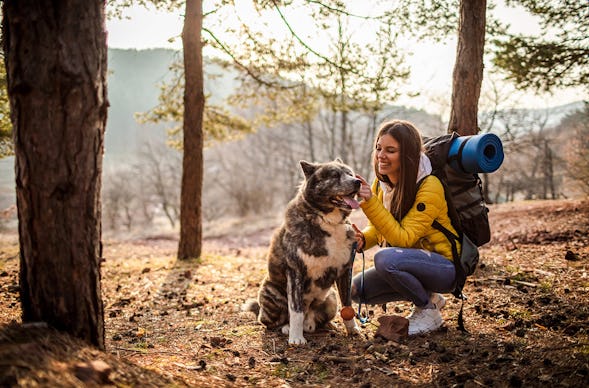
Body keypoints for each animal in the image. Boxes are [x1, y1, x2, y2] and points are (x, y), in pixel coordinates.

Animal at [241, 159, 360, 344]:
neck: (327, 221)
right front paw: (296, 338)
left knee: (316, 317)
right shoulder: (295, 272)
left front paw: (352, 328)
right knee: (271, 321)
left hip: (331, 297)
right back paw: (286, 328)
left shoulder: (345, 271)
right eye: (334, 175)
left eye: (351, 174)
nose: (358, 182)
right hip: (271, 292)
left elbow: (347, 305)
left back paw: (321, 325)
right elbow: (296, 310)